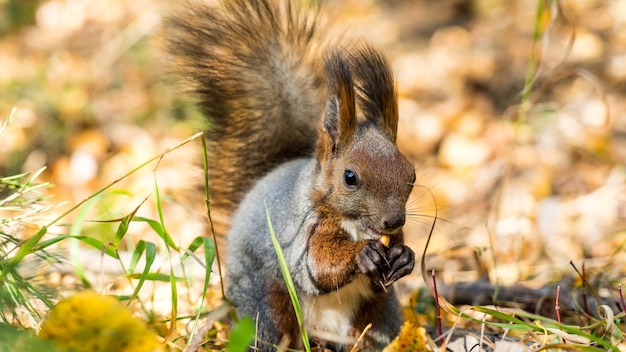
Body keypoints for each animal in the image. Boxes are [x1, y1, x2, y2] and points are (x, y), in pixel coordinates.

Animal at [168, 0, 416, 350]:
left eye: (412, 175)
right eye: (350, 177)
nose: (393, 220)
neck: (356, 227)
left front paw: (405, 257)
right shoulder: (302, 234)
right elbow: (317, 267)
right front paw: (363, 254)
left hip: (380, 313)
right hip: (267, 308)